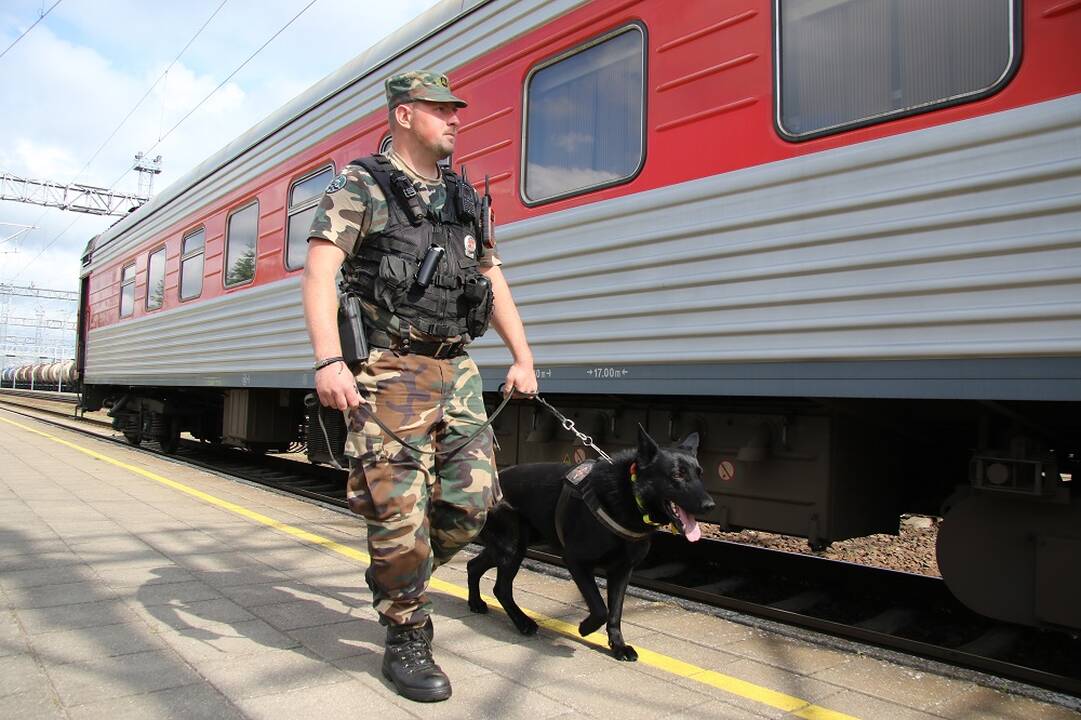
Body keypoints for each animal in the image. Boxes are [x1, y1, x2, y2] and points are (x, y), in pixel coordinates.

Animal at [466, 423, 713, 657]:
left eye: (700, 473)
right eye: (677, 474)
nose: (710, 505)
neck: (629, 495)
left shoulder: (622, 570)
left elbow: (615, 612)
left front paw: (618, 647)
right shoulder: (576, 561)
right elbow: (600, 608)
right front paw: (585, 628)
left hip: (511, 546)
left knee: (473, 565)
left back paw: (476, 603)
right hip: (512, 547)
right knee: (501, 588)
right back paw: (523, 622)